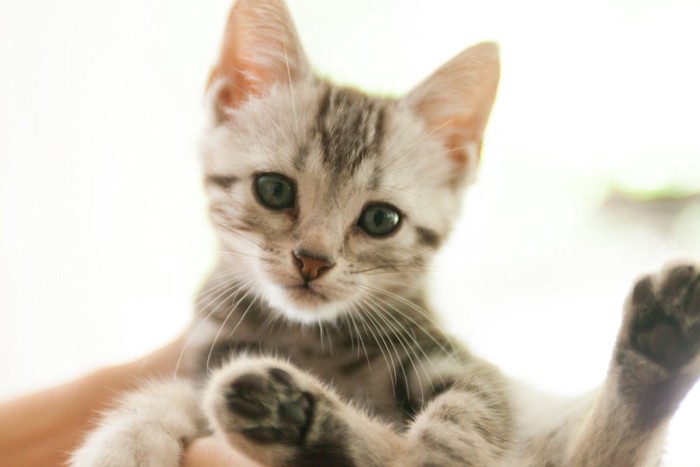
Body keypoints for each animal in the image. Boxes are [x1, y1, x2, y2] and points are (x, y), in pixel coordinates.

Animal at [68, 0, 696, 467]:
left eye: (380, 220)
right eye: (273, 190)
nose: (312, 260)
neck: (310, 339)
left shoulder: (474, 371)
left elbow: (466, 415)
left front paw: (437, 451)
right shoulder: (207, 357)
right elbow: (166, 396)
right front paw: (124, 442)